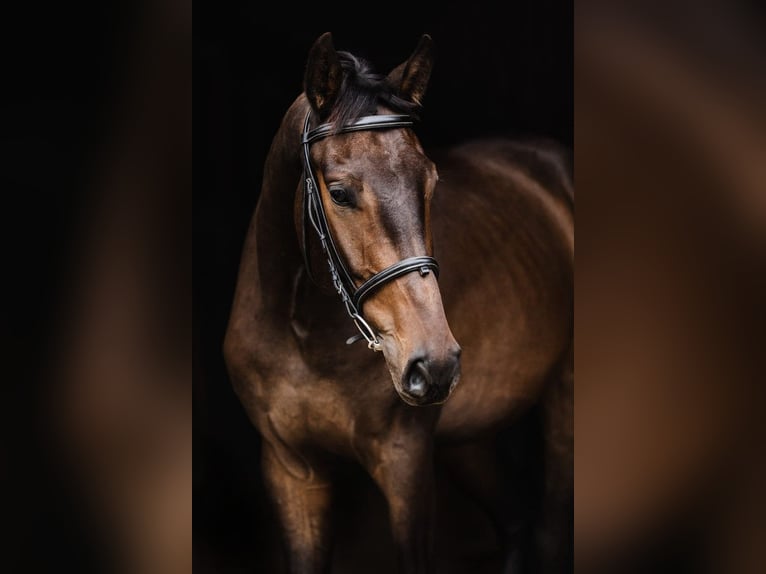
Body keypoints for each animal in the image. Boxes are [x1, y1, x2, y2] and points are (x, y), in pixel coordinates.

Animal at [224, 32, 573, 573]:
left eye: (430, 181)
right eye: (339, 193)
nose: (434, 362)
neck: (305, 335)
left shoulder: (405, 465)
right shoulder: (292, 472)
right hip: (467, 439)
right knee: (515, 522)